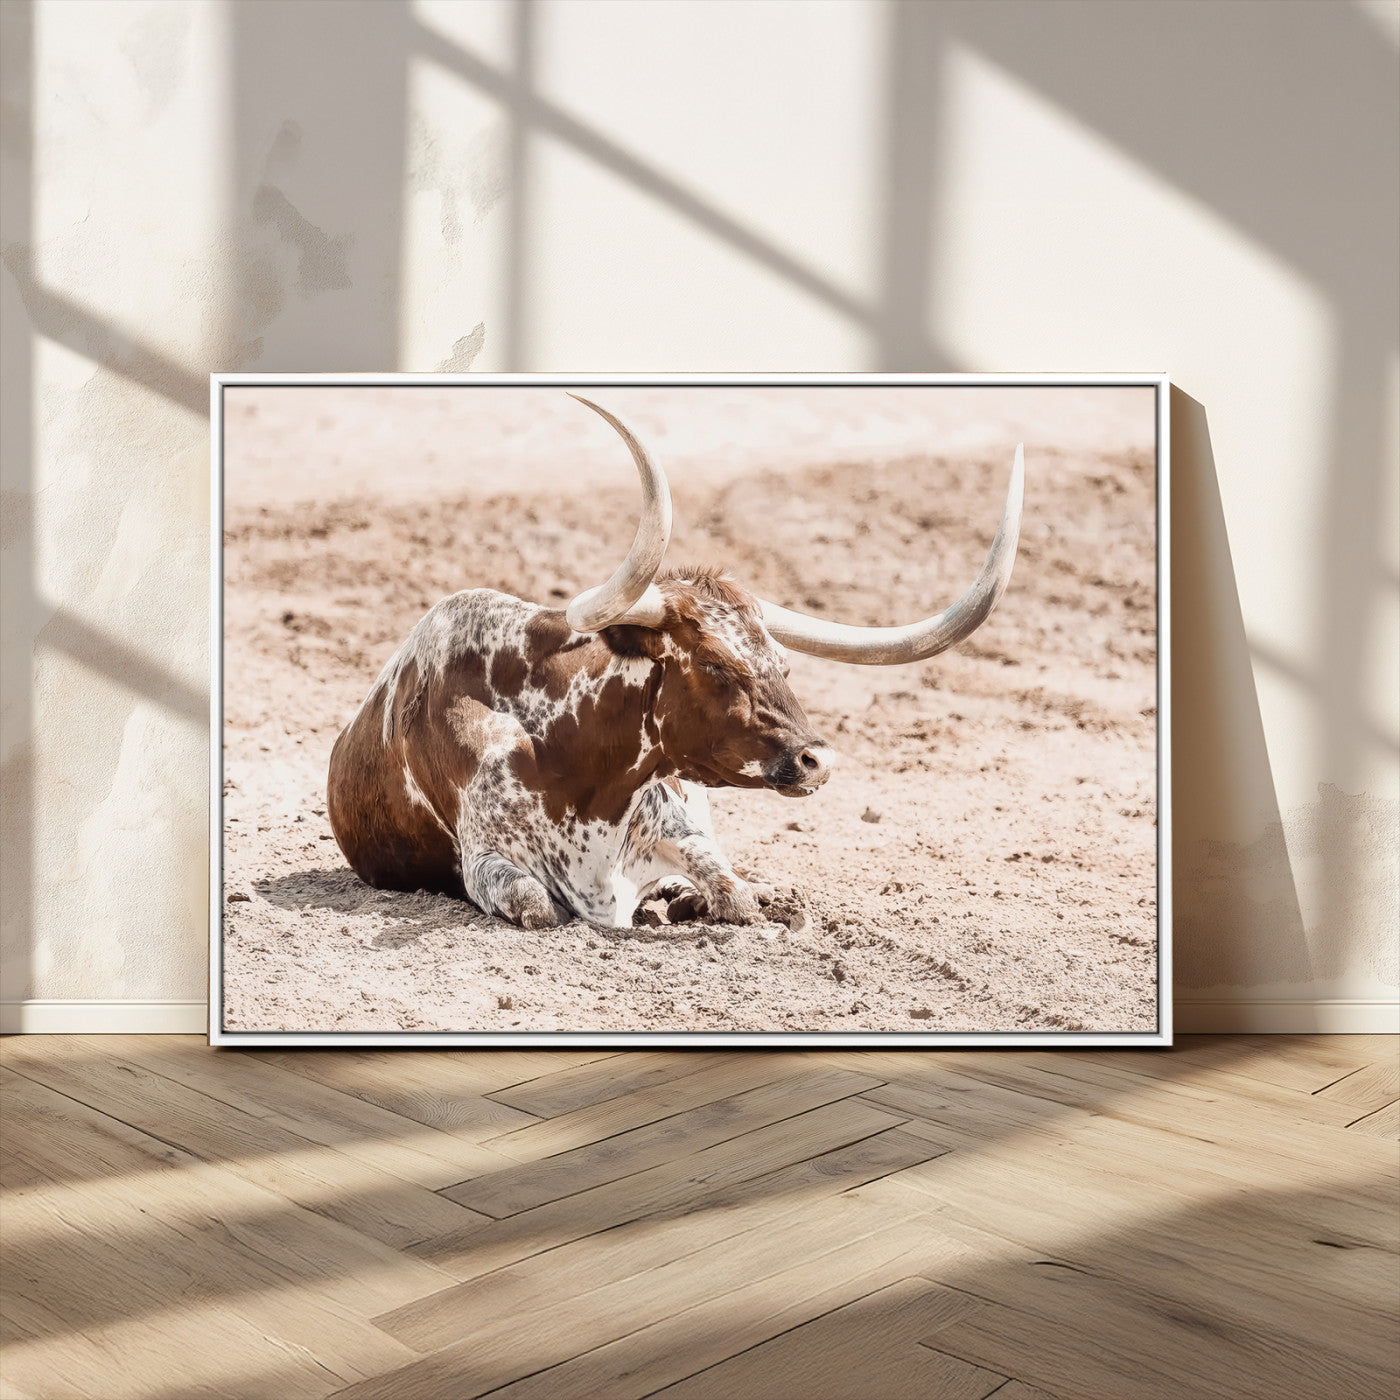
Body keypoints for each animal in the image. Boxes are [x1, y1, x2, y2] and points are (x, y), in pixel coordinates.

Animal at [327, 395, 1023, 929]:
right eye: (714, 666)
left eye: (783, 665)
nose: (817, 760)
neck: (574, 763)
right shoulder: (487, 863)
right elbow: (537, 904)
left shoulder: (681, 825)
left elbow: (733, 891)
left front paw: (733, 899)